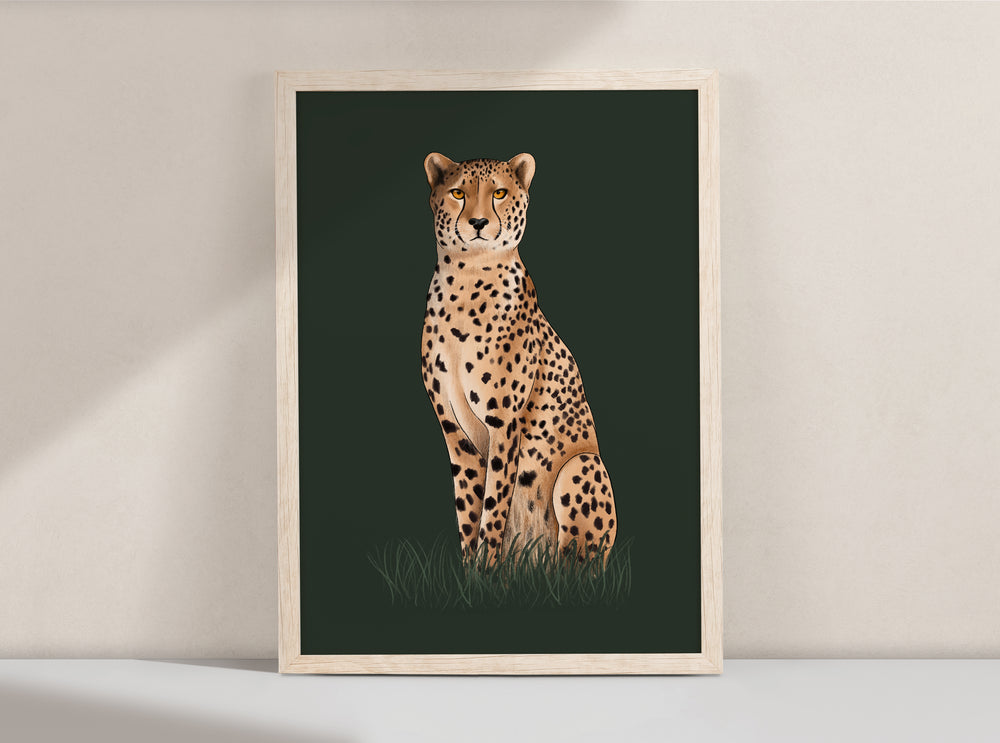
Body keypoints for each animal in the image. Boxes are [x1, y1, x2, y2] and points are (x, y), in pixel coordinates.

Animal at [419, 152, 617, 567]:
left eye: (499, 193)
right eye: (458, 193)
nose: (478, 223)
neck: (467, 279)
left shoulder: (504, 423)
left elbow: (494, 504)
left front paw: (487, 568)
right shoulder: (454, 430)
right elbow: (469, 506)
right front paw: (472, 572)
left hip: (581, 466)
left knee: (577, 562)